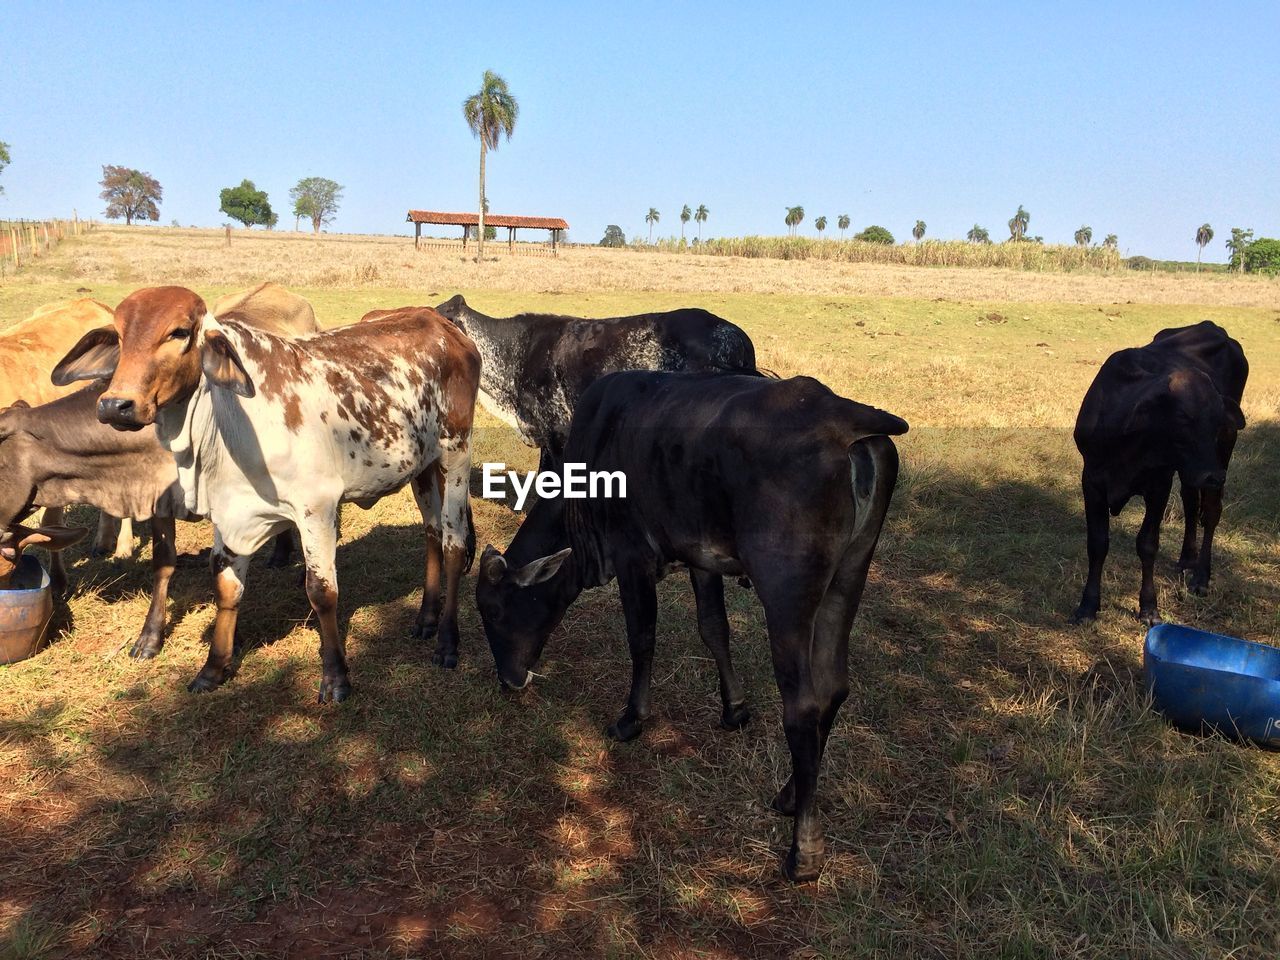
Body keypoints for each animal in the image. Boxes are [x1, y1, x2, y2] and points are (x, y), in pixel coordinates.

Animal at [48, 284, 481, 701]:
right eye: (120, 335)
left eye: (179, 332)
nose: (114, 405)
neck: (226, 423)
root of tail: (442, 325)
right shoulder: (231, 511)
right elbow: (226, 586)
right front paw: (213, 668)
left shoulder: (316, 509)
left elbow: (322, 592)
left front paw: (335, 678)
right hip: (422, 466)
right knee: (432, 533)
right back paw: (425, 618)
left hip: (455, 453)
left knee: (454, 544)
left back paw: (447, 641)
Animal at [476, 371, 906, 885]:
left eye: (494, 611)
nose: (509, 679)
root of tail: (848, 419)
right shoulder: (701, 559)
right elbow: (713, 628)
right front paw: (734, 709)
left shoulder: (631, 557)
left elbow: (642, 638)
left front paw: (631, 718)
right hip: (849, 575)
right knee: (834, 688)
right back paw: (790, 793)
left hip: (786, 594)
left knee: (803, 706)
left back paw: (804, 850)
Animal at [1070, 320, 1249, 627]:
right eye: (1182, 419)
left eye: (1217, 422)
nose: (1213, 476)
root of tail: (1214, 327)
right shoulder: (1091, 481)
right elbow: (1097, 543)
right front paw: (1088, 607)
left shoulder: (1159, 484)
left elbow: (1147, 544)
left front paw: (1148, 608)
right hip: (1190, 471)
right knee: (1191, 502)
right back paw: (1187, 559)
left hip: (1221, 455)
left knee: (1211, 511)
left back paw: (1201, 576)